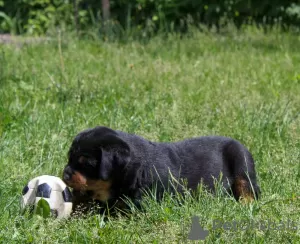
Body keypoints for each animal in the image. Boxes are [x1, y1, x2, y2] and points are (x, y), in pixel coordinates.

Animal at [63, 126, 260, 212]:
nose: (65, 173)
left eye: (86, 163)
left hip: (242, 160)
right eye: (69, 158)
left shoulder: (140, 206)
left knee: (248, 190)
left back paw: (244, 205)